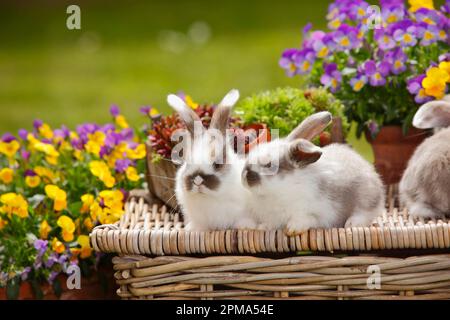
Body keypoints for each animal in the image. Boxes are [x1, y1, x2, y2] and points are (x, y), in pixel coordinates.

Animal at [166, 89, 256, 231]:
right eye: (187, 163)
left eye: (217, 164)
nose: (197, 180)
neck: (211, 197)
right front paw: (193, 229)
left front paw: (247, 226)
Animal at [241, 110, 384, 235]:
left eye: (269, 165)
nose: (245, 176)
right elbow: (271, 224)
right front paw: (262, 228)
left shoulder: (320, 212)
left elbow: (308, 218)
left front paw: (293, 229)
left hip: (366, 197)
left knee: (366, 213)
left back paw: (352, 224)